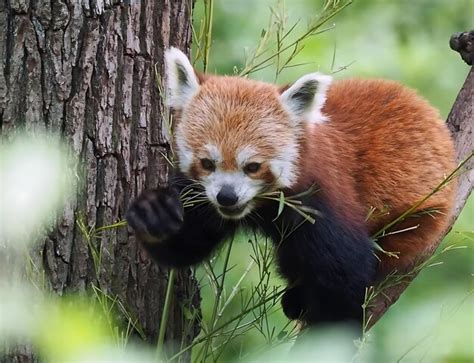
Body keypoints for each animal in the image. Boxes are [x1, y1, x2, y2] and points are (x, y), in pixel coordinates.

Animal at [126, 47, 456, 326]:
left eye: (253, 166)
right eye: (207, 163)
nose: (227, 197)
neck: (262, 207)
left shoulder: (323, 201)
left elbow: (344, 274)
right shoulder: (204, 200)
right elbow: (185, 244)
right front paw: (155, 212)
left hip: (418, 219)